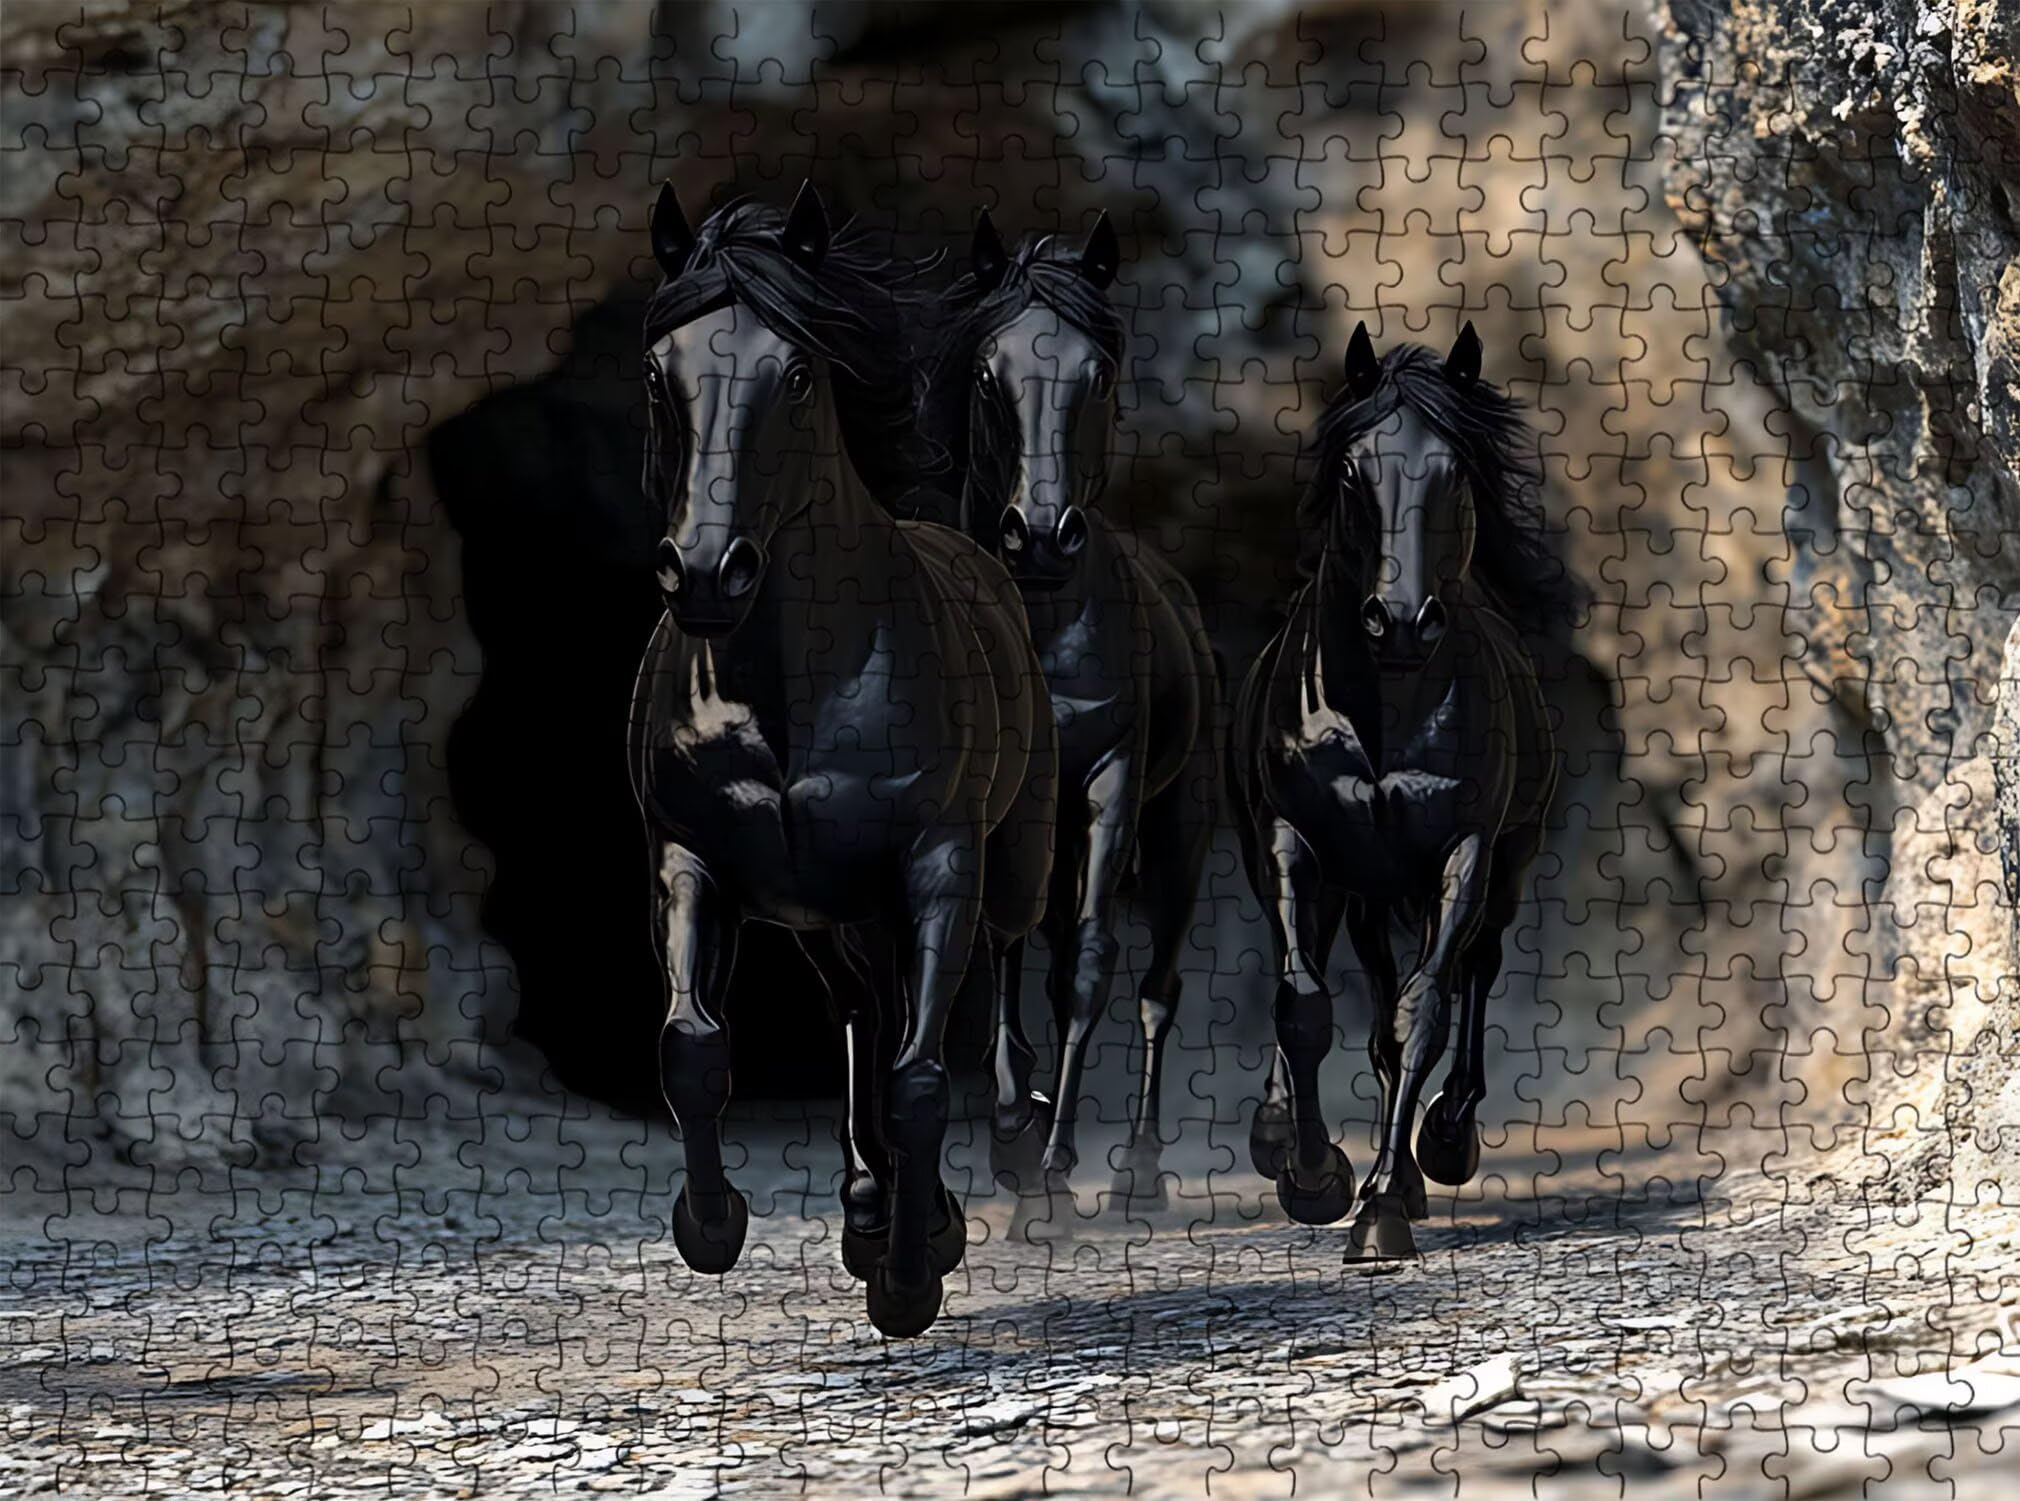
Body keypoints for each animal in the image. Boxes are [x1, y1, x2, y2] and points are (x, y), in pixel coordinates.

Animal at [631, 181, 1057, 1336]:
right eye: (658, 372)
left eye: (795, 373)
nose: (705, 572)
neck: (796, 686)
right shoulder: (691, 856)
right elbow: (691, 1045)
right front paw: (713, 1225)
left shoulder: (937, 864)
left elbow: (919, 1080)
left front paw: (910, 1280)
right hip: (826, 916)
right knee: (864, 1011)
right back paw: (867, 1208)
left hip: (997, 869)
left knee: (980, 978)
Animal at [919, 210, 1220, 1211]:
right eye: (988, 372)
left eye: (1098, 372)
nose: (1042, 535)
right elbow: (994, 953)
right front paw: (1016, 1139)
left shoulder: (1109, 783)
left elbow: (1088, 964)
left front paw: (1050, 1166)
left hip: (1178, 835)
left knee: (1157, 985)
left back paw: (1139, 1174)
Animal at [1227, 322, 1581, 1259]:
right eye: (1355, 471)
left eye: (1453, 470)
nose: (1402, 620)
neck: (1385, 710)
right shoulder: (1294, 838)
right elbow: (1305, 1003)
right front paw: (1314, 1177)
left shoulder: (1463, 849)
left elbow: (1419, 1012)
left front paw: (1382, 1205)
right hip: (1350, 886)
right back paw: (1281, 1133)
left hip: (1501, 863)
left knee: (1472, 972)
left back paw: (1443, 1141)